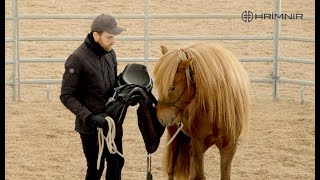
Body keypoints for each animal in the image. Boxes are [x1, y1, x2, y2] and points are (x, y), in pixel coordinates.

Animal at [152, 43, 250, 179]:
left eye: (172, 87)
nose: (160, 118)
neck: (217, 114)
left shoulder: (229, 148)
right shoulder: (198, 146)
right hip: (174, 136)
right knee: (171, 169)